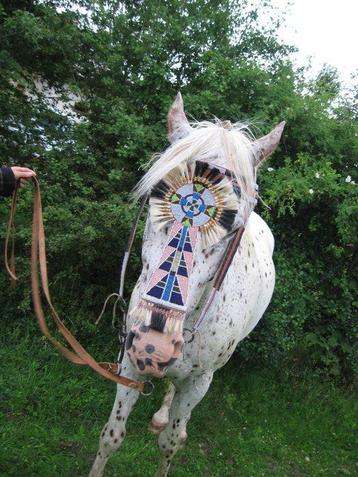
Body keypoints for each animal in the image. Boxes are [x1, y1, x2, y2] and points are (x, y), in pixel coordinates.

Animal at [89, 94, 286, 476]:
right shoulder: (129, 362)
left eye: (233, 223)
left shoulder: (198, 382)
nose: (154, 345)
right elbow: (111, 436)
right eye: (155, 198)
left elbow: (170, 443)